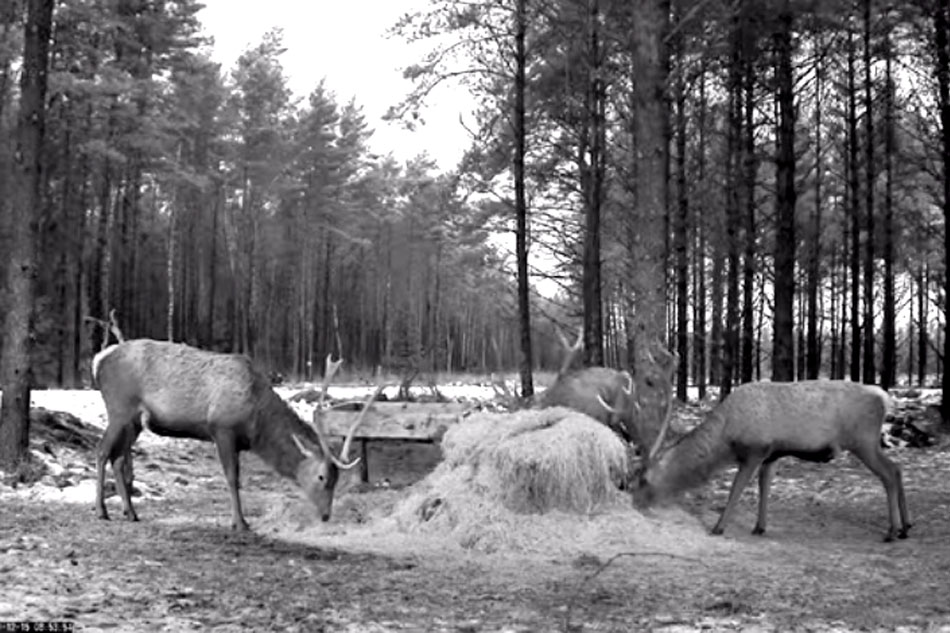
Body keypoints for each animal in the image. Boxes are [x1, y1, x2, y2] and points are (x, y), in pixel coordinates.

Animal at [92, 340, 384, 528]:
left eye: (337, 479)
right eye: (321, 476)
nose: (325, 515)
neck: (257, 422)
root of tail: (99, 360)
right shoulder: (222, 427)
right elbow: (233, 478)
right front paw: (240, 522)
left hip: (134, 421)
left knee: (119, 458)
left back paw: (130, 513)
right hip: (119, 407)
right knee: (102, 451)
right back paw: (101, 511)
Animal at [632, 378, 916, 540]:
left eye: (643, 479)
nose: (635, 503)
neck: (725, 438)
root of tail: (884, 399)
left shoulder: (754, 451)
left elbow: (736, 490)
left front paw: (718, 527)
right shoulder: (771, 455)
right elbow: (764, 488)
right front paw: (759, 527)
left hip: (862, 441)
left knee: (889, 473)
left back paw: (892, 531)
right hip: (870, 442)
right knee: (897, 468)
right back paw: (907, 526)